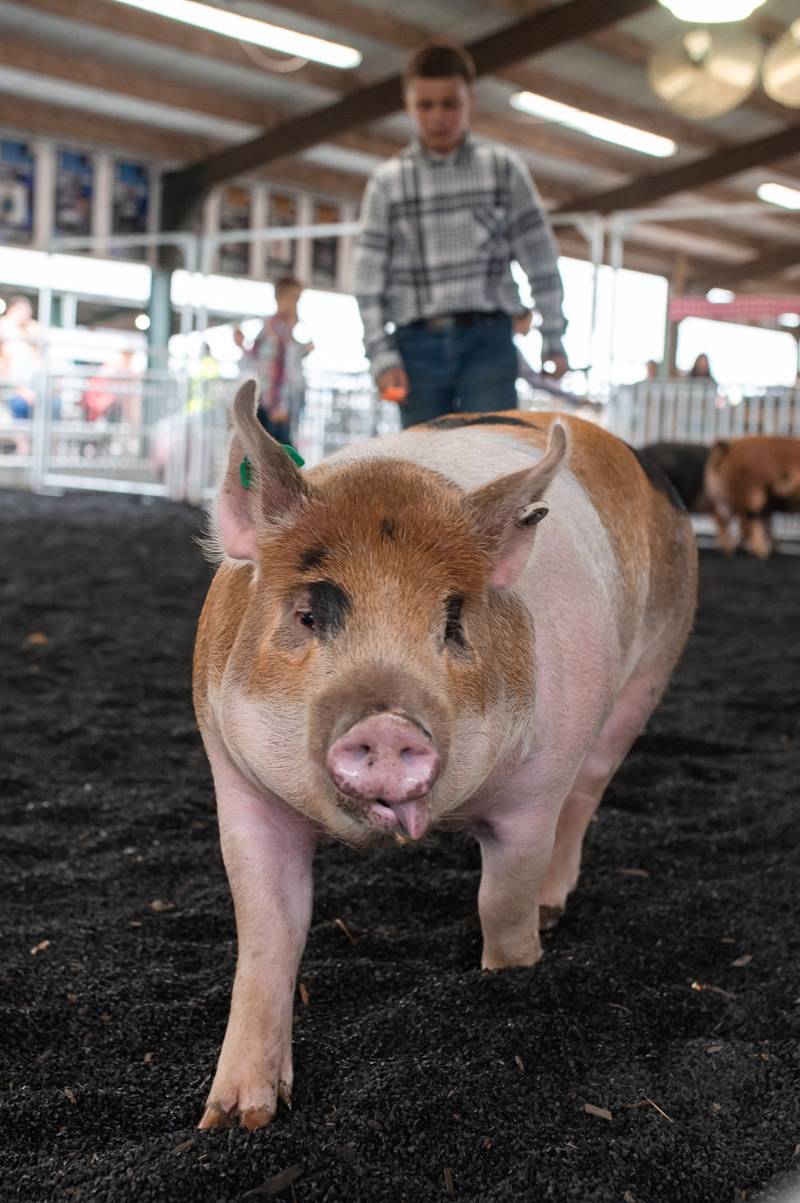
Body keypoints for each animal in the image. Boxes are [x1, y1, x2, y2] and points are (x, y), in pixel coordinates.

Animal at [190, 382, 697, 1126]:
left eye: (454, 621)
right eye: (308, 614)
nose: (388, 725)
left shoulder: (531, 798)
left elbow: (502, 904)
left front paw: (511, 975)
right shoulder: (237, 781)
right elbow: (267, 933)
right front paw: (233, 1120)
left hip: (649, 674)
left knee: (587, 793)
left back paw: (554, 905)